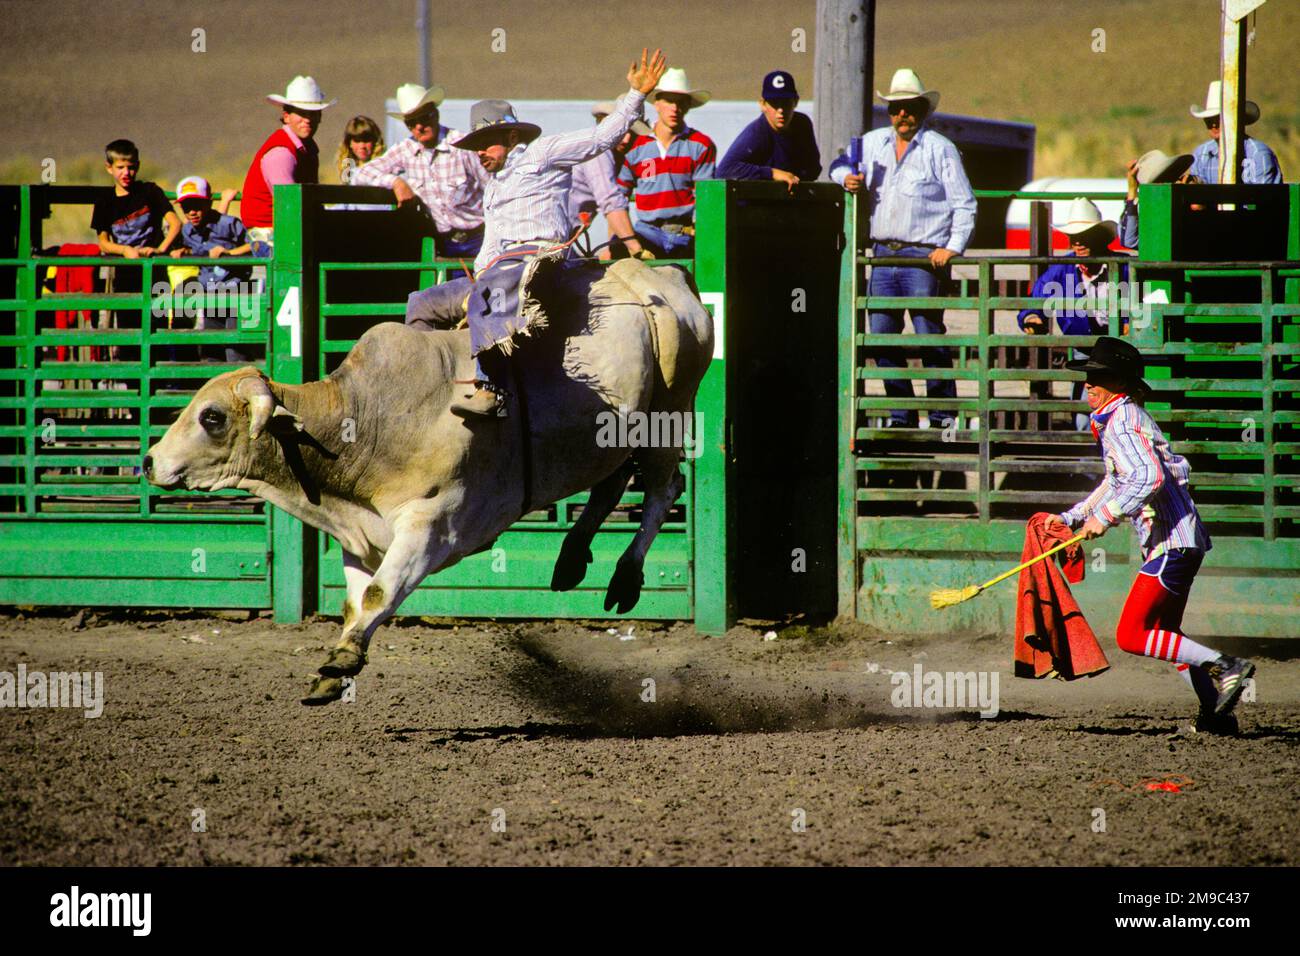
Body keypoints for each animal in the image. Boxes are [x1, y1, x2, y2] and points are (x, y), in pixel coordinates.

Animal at [144, 257, 712, 707]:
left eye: (212, 417)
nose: (149, 461)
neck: (366, 420)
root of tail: (662, 276)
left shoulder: (431, 528)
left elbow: (380, 594)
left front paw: (342, 660)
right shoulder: (362, 537)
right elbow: (357, 600)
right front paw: (335, 670)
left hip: (667, 415)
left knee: (663, 490)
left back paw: (625, 578)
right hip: (611, 440)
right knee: (610, 486)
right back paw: (572, 558)